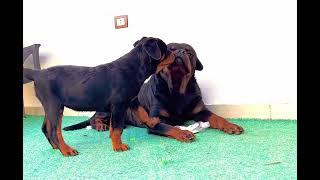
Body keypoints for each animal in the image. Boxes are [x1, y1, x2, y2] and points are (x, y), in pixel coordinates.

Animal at [23, 37, 175, 156]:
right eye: (165, 49)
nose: (174, 52)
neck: (135, 67)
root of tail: (38, 73)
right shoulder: (119, 105)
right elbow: (117, 128)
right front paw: (118, 146)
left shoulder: (132, 101)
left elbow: (142, 112)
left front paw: (152, 121)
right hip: (54, 106)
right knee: (55, 131)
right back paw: (66, 150)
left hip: (50, 107)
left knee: (45, 128)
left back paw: (56, 148)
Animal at [63, 43, 244, 142]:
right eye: (171, 49)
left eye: (189, 51)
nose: (180, 52)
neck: (177, 89)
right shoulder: (156, 119)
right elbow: (167, 127)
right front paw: (182, 132)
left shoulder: (200, 111)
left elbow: (217, 117)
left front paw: (230, 125)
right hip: (110, 107)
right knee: (93, 119)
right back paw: (101, 125)